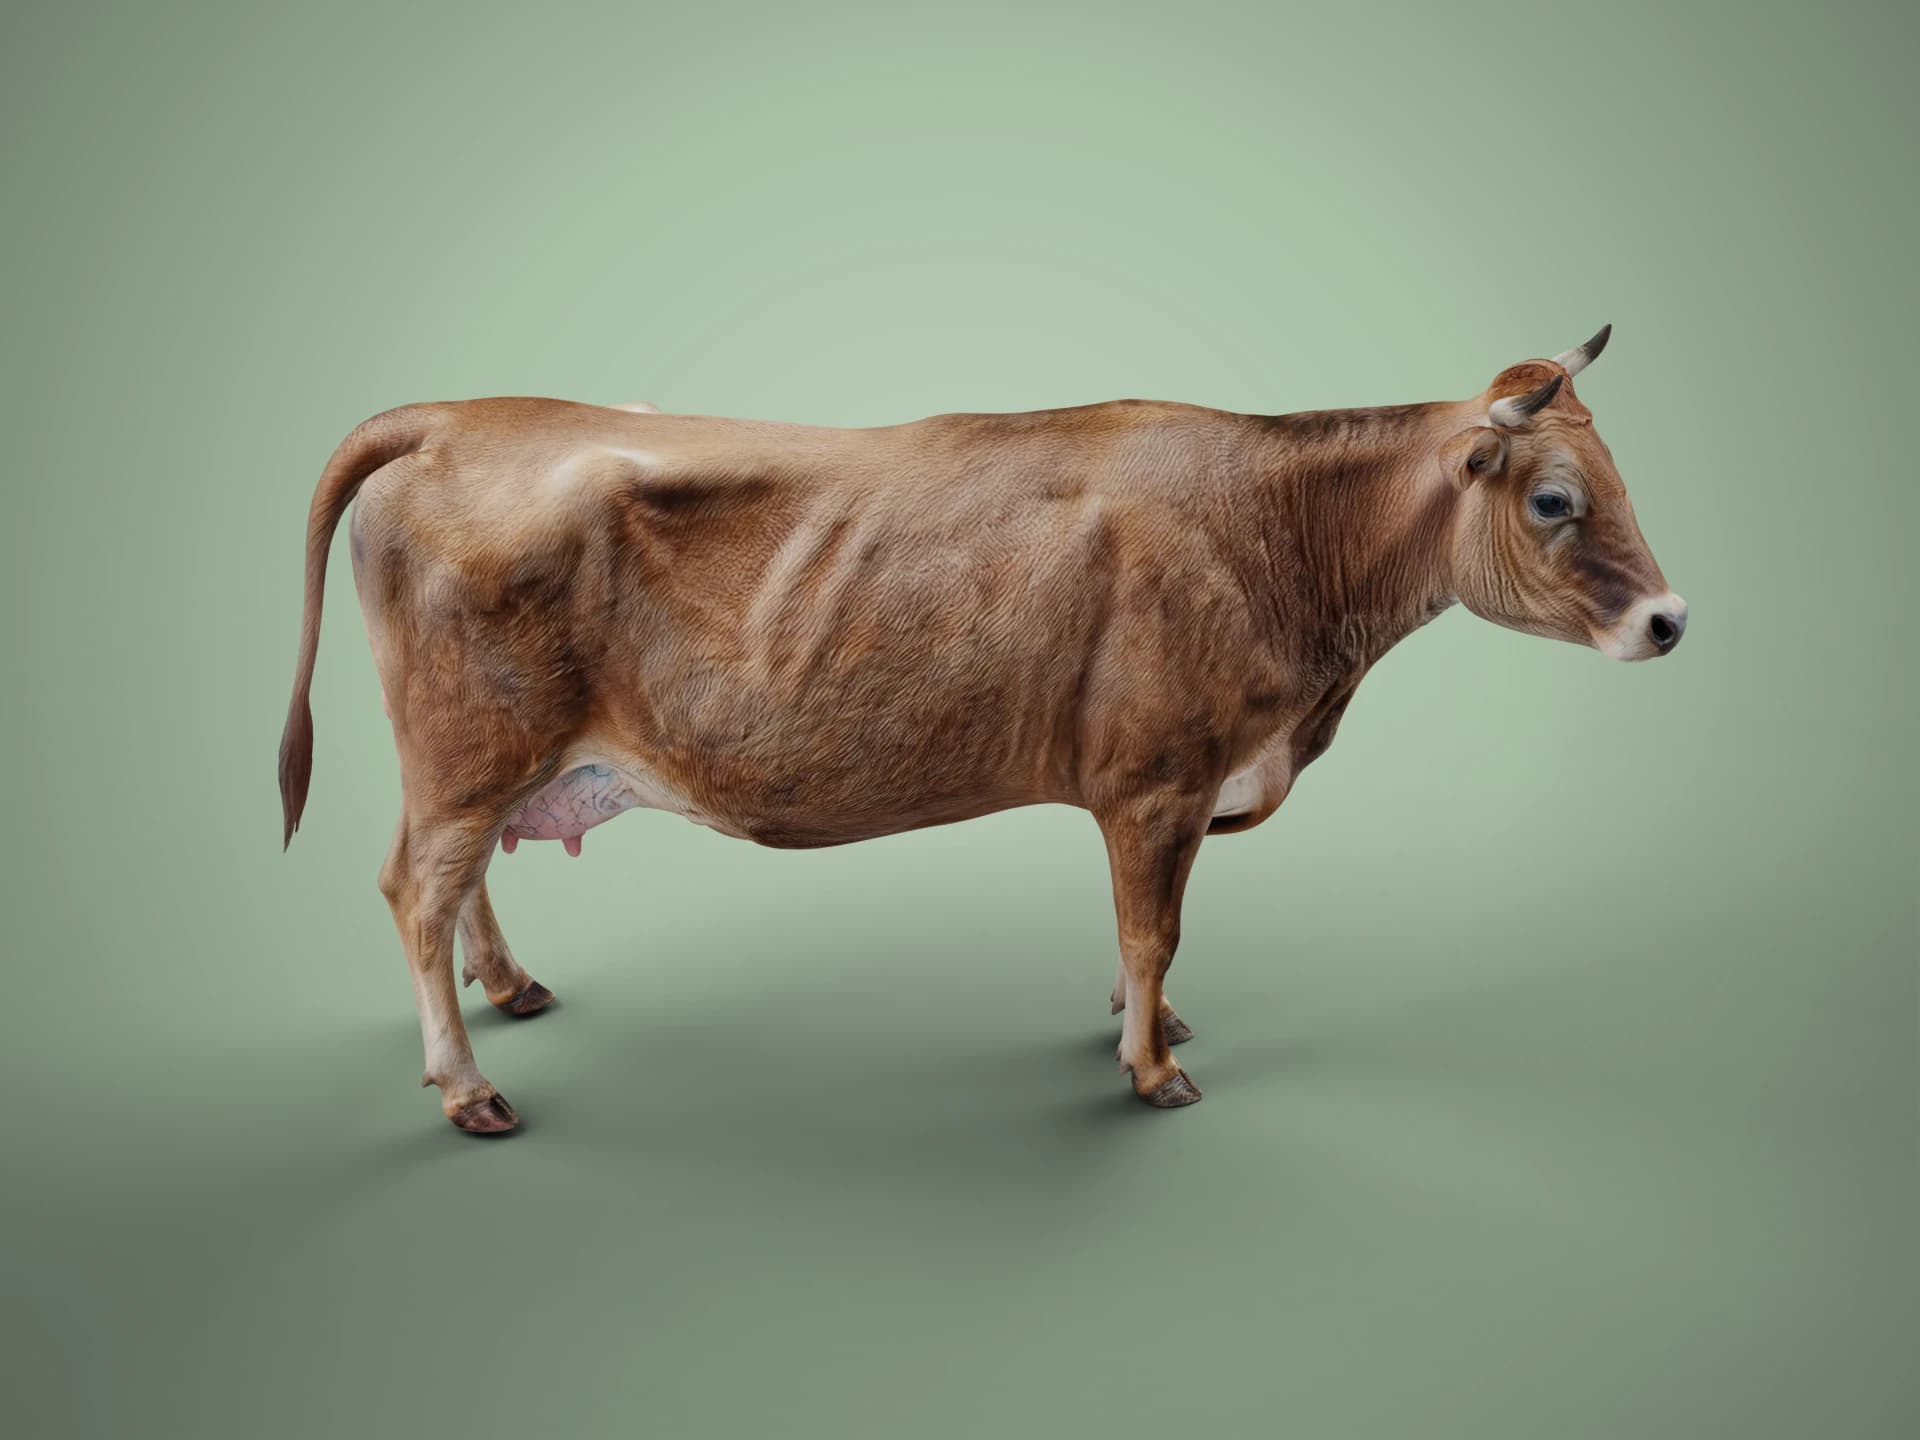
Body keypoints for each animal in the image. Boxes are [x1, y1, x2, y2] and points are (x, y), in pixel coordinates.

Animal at [279, 327, 1686, 1134]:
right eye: (1555, 499)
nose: (1671, 620)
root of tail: (463, 414)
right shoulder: (1158, 778)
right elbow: (1154, 924)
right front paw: (1151, 1070)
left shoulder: (1167, 791)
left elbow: (1141, 931)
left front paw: (1150, 1023)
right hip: (472, 743)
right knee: (415, 888)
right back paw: (468, 1087)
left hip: (482, 755)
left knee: (461, 880)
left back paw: (511, 989)